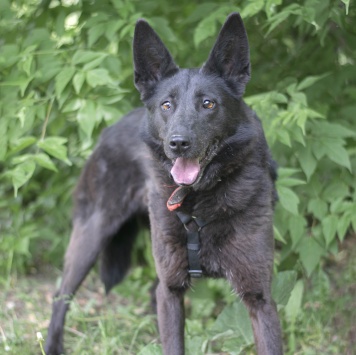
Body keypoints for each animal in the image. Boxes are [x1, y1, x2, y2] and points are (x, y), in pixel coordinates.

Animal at [45, 12, 284, 354]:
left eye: (208, 104)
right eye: (166, 105)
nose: (178, 143)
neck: (198, 202)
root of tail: (107, 132)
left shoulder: (260, 298)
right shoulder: (171, 292)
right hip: (91, 234)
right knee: (60, 294)